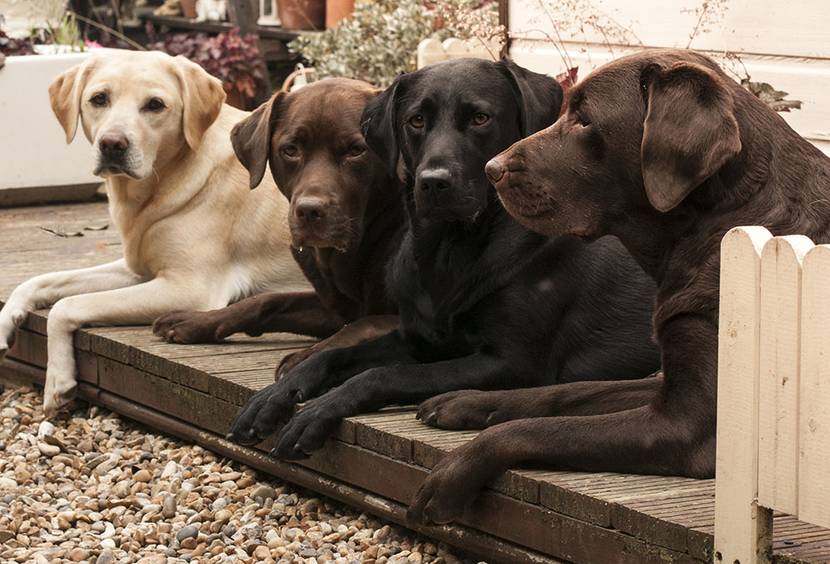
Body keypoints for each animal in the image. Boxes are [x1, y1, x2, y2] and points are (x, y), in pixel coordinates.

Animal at [0, 49, 308, 414]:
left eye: (155, 105)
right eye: (99, 99)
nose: (112, 144)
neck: (157, 186)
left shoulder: (188, 289)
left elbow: (67, 306)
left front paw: (58, 381)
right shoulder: (137, 269)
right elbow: (41, 281)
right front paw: (6, 321)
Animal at [155, 79, 406, 370]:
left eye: (356, 150)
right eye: (291, 150)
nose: (309, 211)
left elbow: (365, 324)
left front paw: (307, 358)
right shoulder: (334, 310)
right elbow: (269, 299)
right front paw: (196, 320)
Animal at [226, 59, 664, 460]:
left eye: (481, 118)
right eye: (416, 120)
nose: (434, 182)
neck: (449, 251)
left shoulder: (510, 362)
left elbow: (381, 375)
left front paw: (315, 412)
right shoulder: (417, 337)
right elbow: (333, 355)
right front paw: (274, 396)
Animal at [408, 47, 830, 524]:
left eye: (585, 121)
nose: (491, 169)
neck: (721, 219)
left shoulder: (686, 427)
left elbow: (535, 430)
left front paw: (450, 474)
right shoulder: (665, 380)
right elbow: (561, 392)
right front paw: (463, 401)